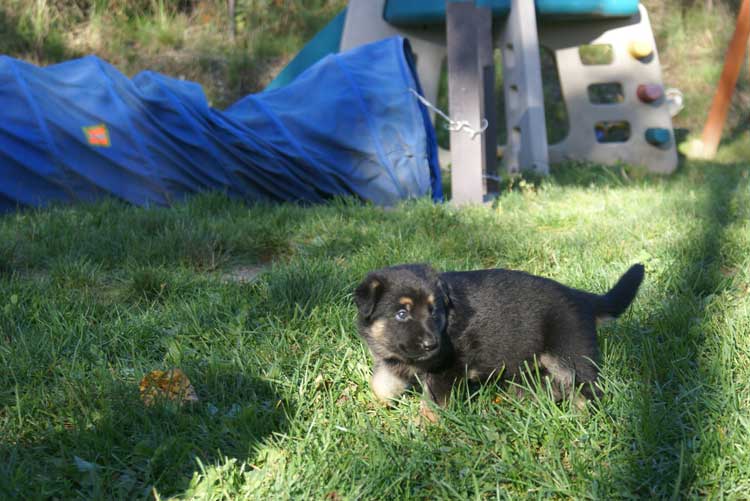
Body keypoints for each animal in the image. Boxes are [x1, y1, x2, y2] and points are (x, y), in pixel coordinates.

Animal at [354, 264, 648, 408]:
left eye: (433, 311)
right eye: (401, 313)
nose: (431, 344)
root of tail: (581, 297)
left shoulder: (446, 371)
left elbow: (434, 404)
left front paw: (426, 430)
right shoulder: (393, 364)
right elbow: (379, 385)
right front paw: (381, 405)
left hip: (569, 356)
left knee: (588, 389)